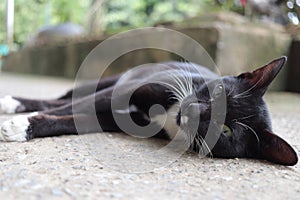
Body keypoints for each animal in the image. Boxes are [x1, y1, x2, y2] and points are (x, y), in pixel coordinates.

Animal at [0, 55, 298, 166]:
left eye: (226, 131)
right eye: (219, 93)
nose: (193, 109)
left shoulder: (112, 118)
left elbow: (69, 121)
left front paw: (25, 127)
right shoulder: (123, 91)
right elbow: (69, 107)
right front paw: (20, 123)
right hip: (112, 80)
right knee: (62, 98)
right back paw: (11, 103)